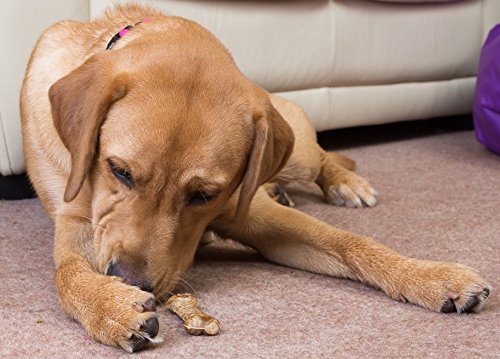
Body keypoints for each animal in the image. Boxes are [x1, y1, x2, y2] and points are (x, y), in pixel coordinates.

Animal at [21, 2, 490, 354]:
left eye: (204, 194)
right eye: (119, 170)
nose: (130, 280)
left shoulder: (251, 213)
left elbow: (350, 243)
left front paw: (431, 276)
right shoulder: (77, 222)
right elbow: (67, 276)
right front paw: (111, 307)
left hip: (299, 155)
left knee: (323, 156)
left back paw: (345, 182)